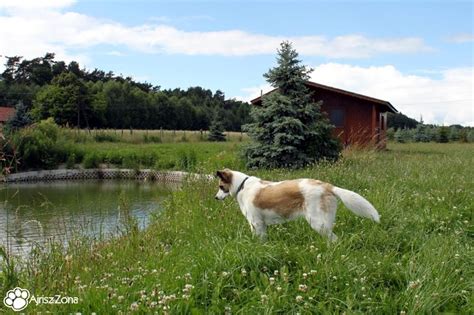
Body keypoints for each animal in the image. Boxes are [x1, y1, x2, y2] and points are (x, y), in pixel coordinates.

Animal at [216, 170, 382, 242]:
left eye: (220, 186)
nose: (215, 198)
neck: (242, 186)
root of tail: (327, 186)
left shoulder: (256, 222)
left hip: (317, 222)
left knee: (334, 239)